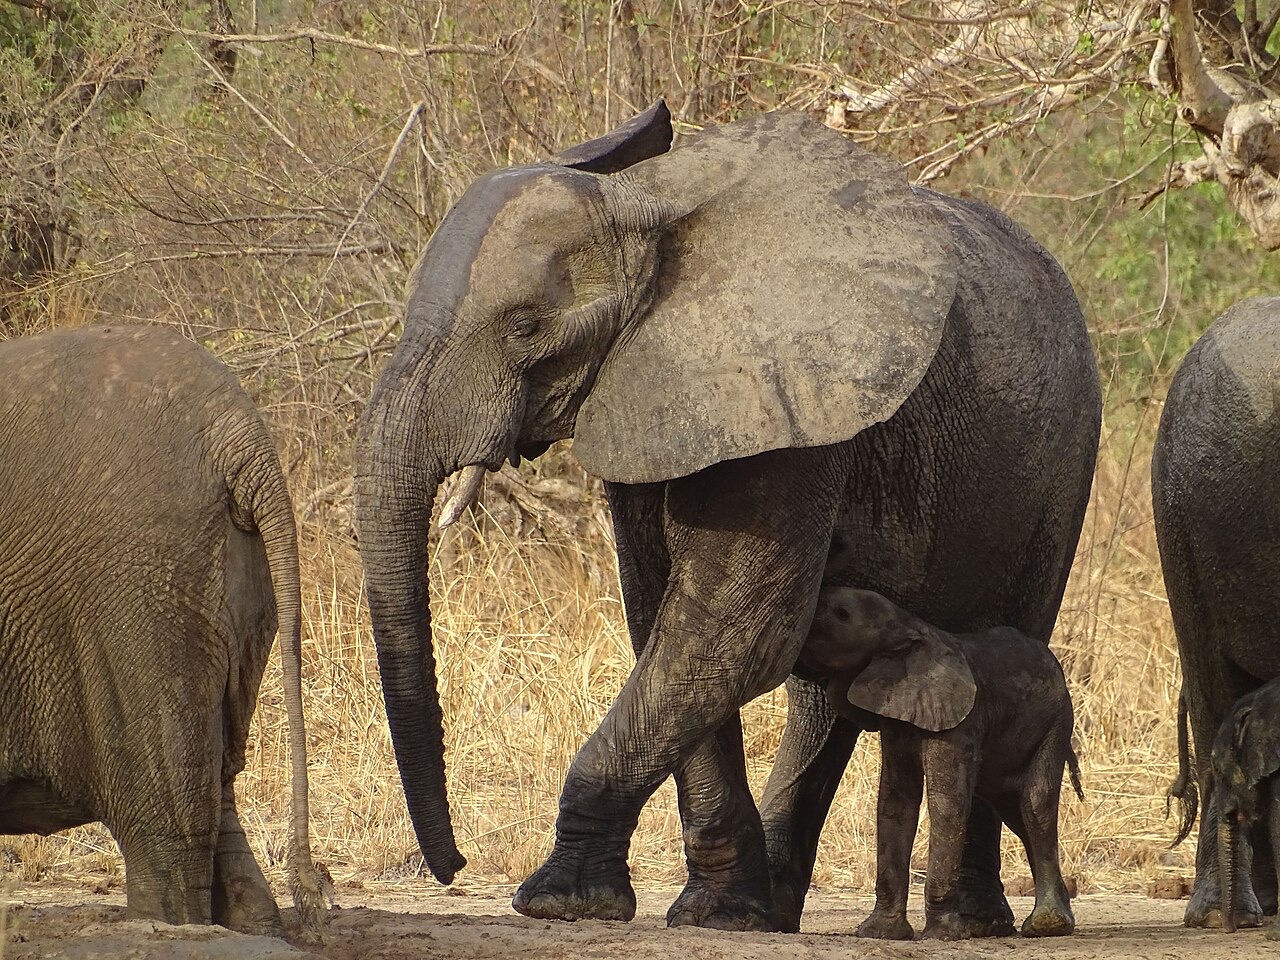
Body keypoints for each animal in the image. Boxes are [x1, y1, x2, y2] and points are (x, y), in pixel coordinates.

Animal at [797, 587, 1082, 940]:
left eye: (842, 613)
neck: (908, 625)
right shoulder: (898, 721)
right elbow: (895, 804)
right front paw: (879, 933)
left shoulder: (960, 721)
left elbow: (947, 805)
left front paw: (944, 935)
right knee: (1016, 814)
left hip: (1056, 722)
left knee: (1035, 804)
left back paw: (1047, 925)